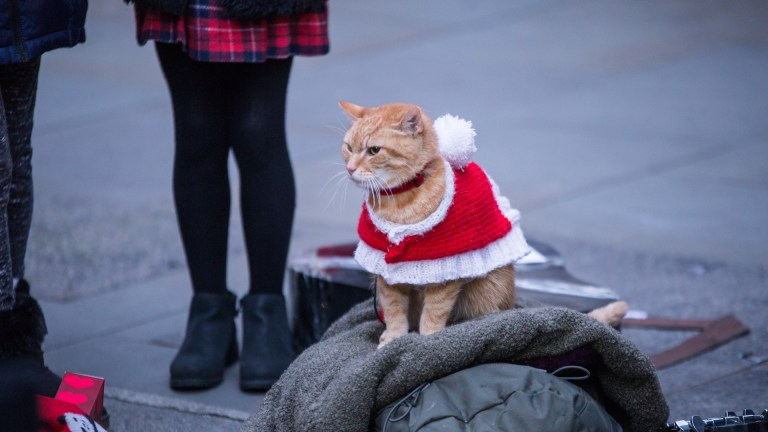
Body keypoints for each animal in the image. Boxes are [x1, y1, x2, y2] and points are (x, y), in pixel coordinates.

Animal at [340, 102, 532, 348]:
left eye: (374, 150)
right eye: (348, 147)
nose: (350, 168)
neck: (400, 199)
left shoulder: (445, 269)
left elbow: (434, 311)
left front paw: (429, 339)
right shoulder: (386, 274)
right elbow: (393, 311)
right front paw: (392, 339)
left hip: (488, 292)